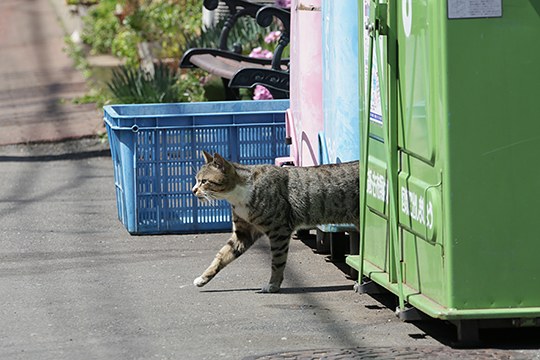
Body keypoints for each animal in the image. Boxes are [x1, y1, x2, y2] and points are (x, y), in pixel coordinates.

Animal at [190, 150, 358, 294]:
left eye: (204, 181)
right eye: (197, 180)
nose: (193, 190)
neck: (238, 195)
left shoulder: (279, 231)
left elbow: (277, 261)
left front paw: (273, 285)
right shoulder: (243, 233)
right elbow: (222, 256)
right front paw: (202, 278)